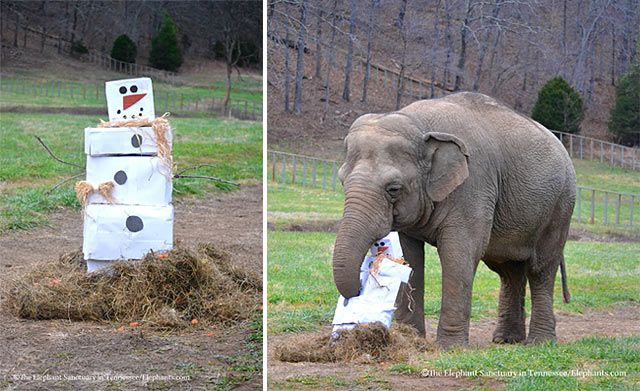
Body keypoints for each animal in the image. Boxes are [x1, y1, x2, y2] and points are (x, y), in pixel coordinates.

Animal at [332, 92, 576, 350]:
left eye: (394, 189)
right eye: (342, 181)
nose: (357, 291)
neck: (419, 125)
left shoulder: (474, 185)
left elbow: (459, 252)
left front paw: (450, 348)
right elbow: (410, 257)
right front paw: (412, 340)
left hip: (561, 205)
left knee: (540, 269)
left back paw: (539, 342)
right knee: (509, 270)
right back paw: (506, 339)